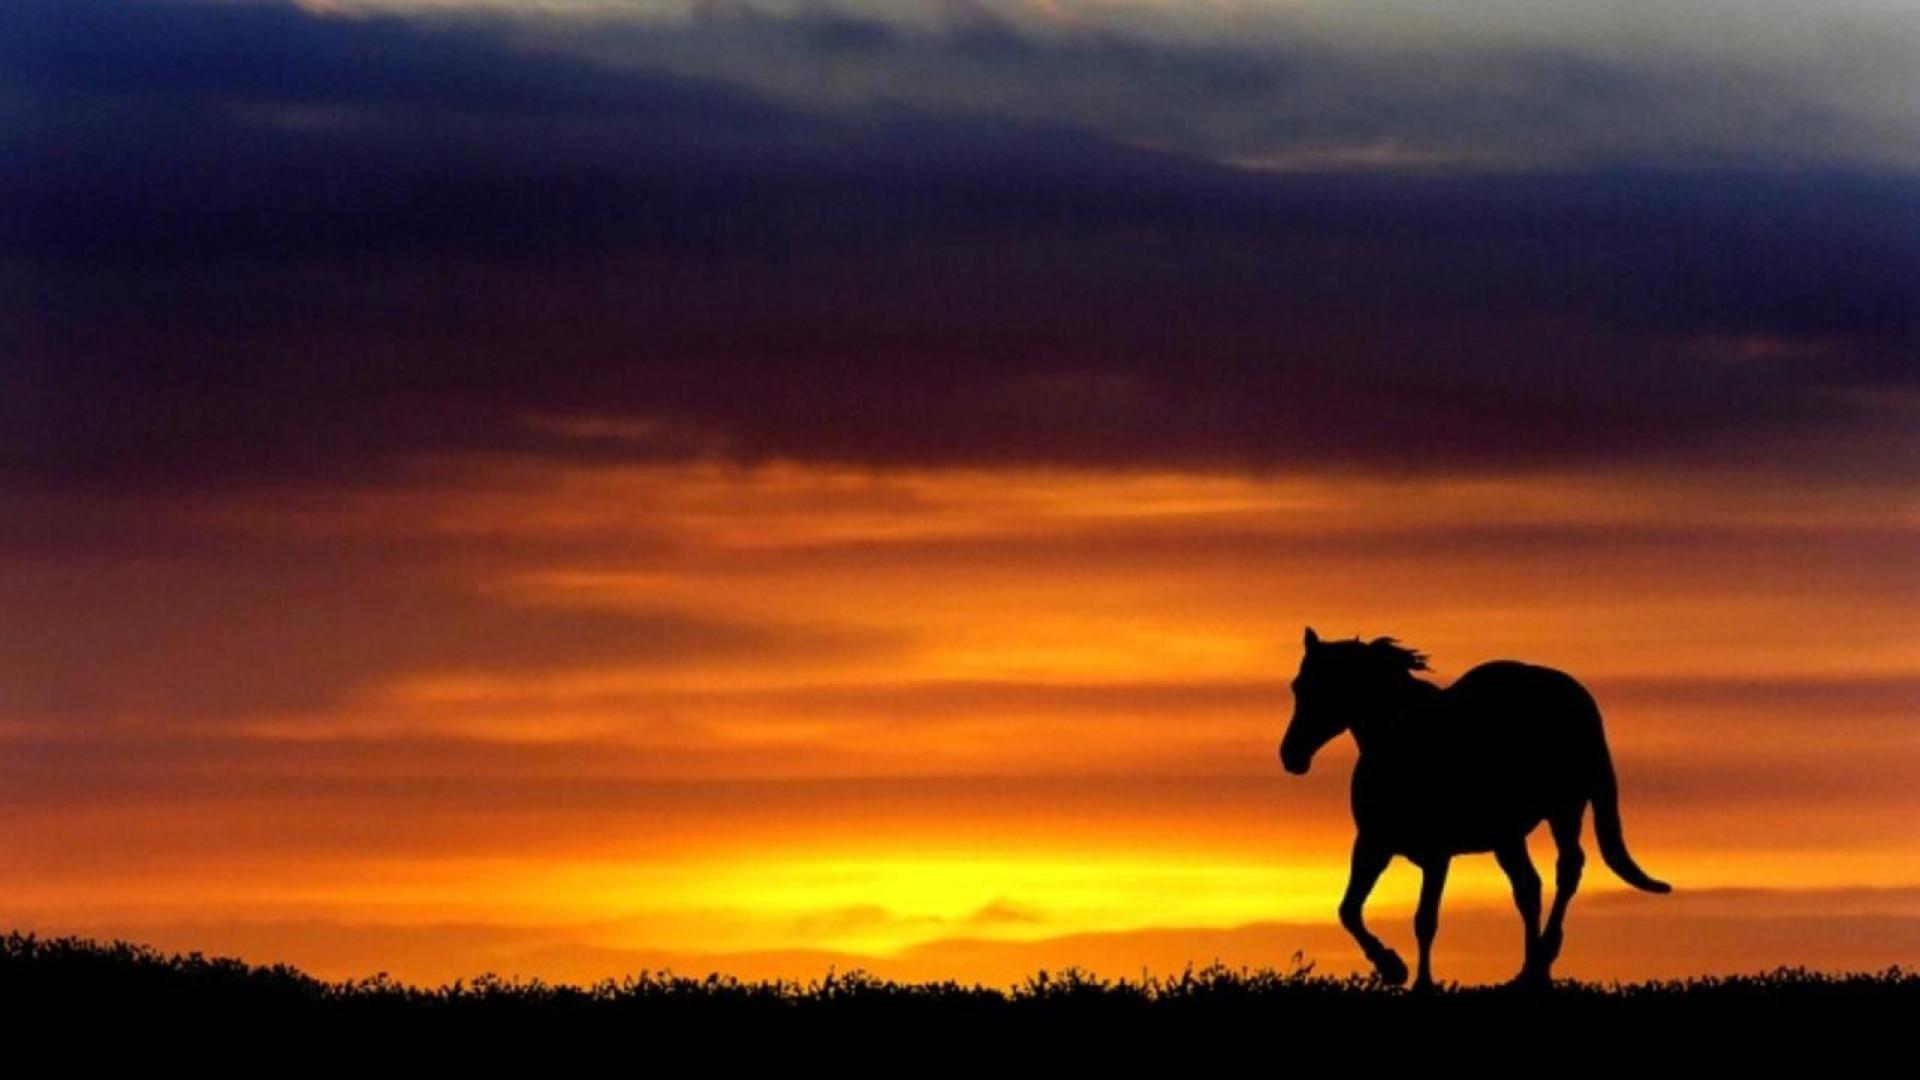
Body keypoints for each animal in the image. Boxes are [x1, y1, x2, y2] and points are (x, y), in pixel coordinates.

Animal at [1279, 627, 1670, 990]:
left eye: (1324, 687)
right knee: (1529, 888)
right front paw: (1392, 967)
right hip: (1508, 836)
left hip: (1565, 807)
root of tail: (1577, 696)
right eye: (1298, 686)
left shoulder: (1436, 853)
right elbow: (1348, 910)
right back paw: (1529, 974)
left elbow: (1425, 919)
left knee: (1568, 869)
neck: (1398, 741)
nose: (1291, 755)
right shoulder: (1374, 844)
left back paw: (1544, 957)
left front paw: (1421, 983)